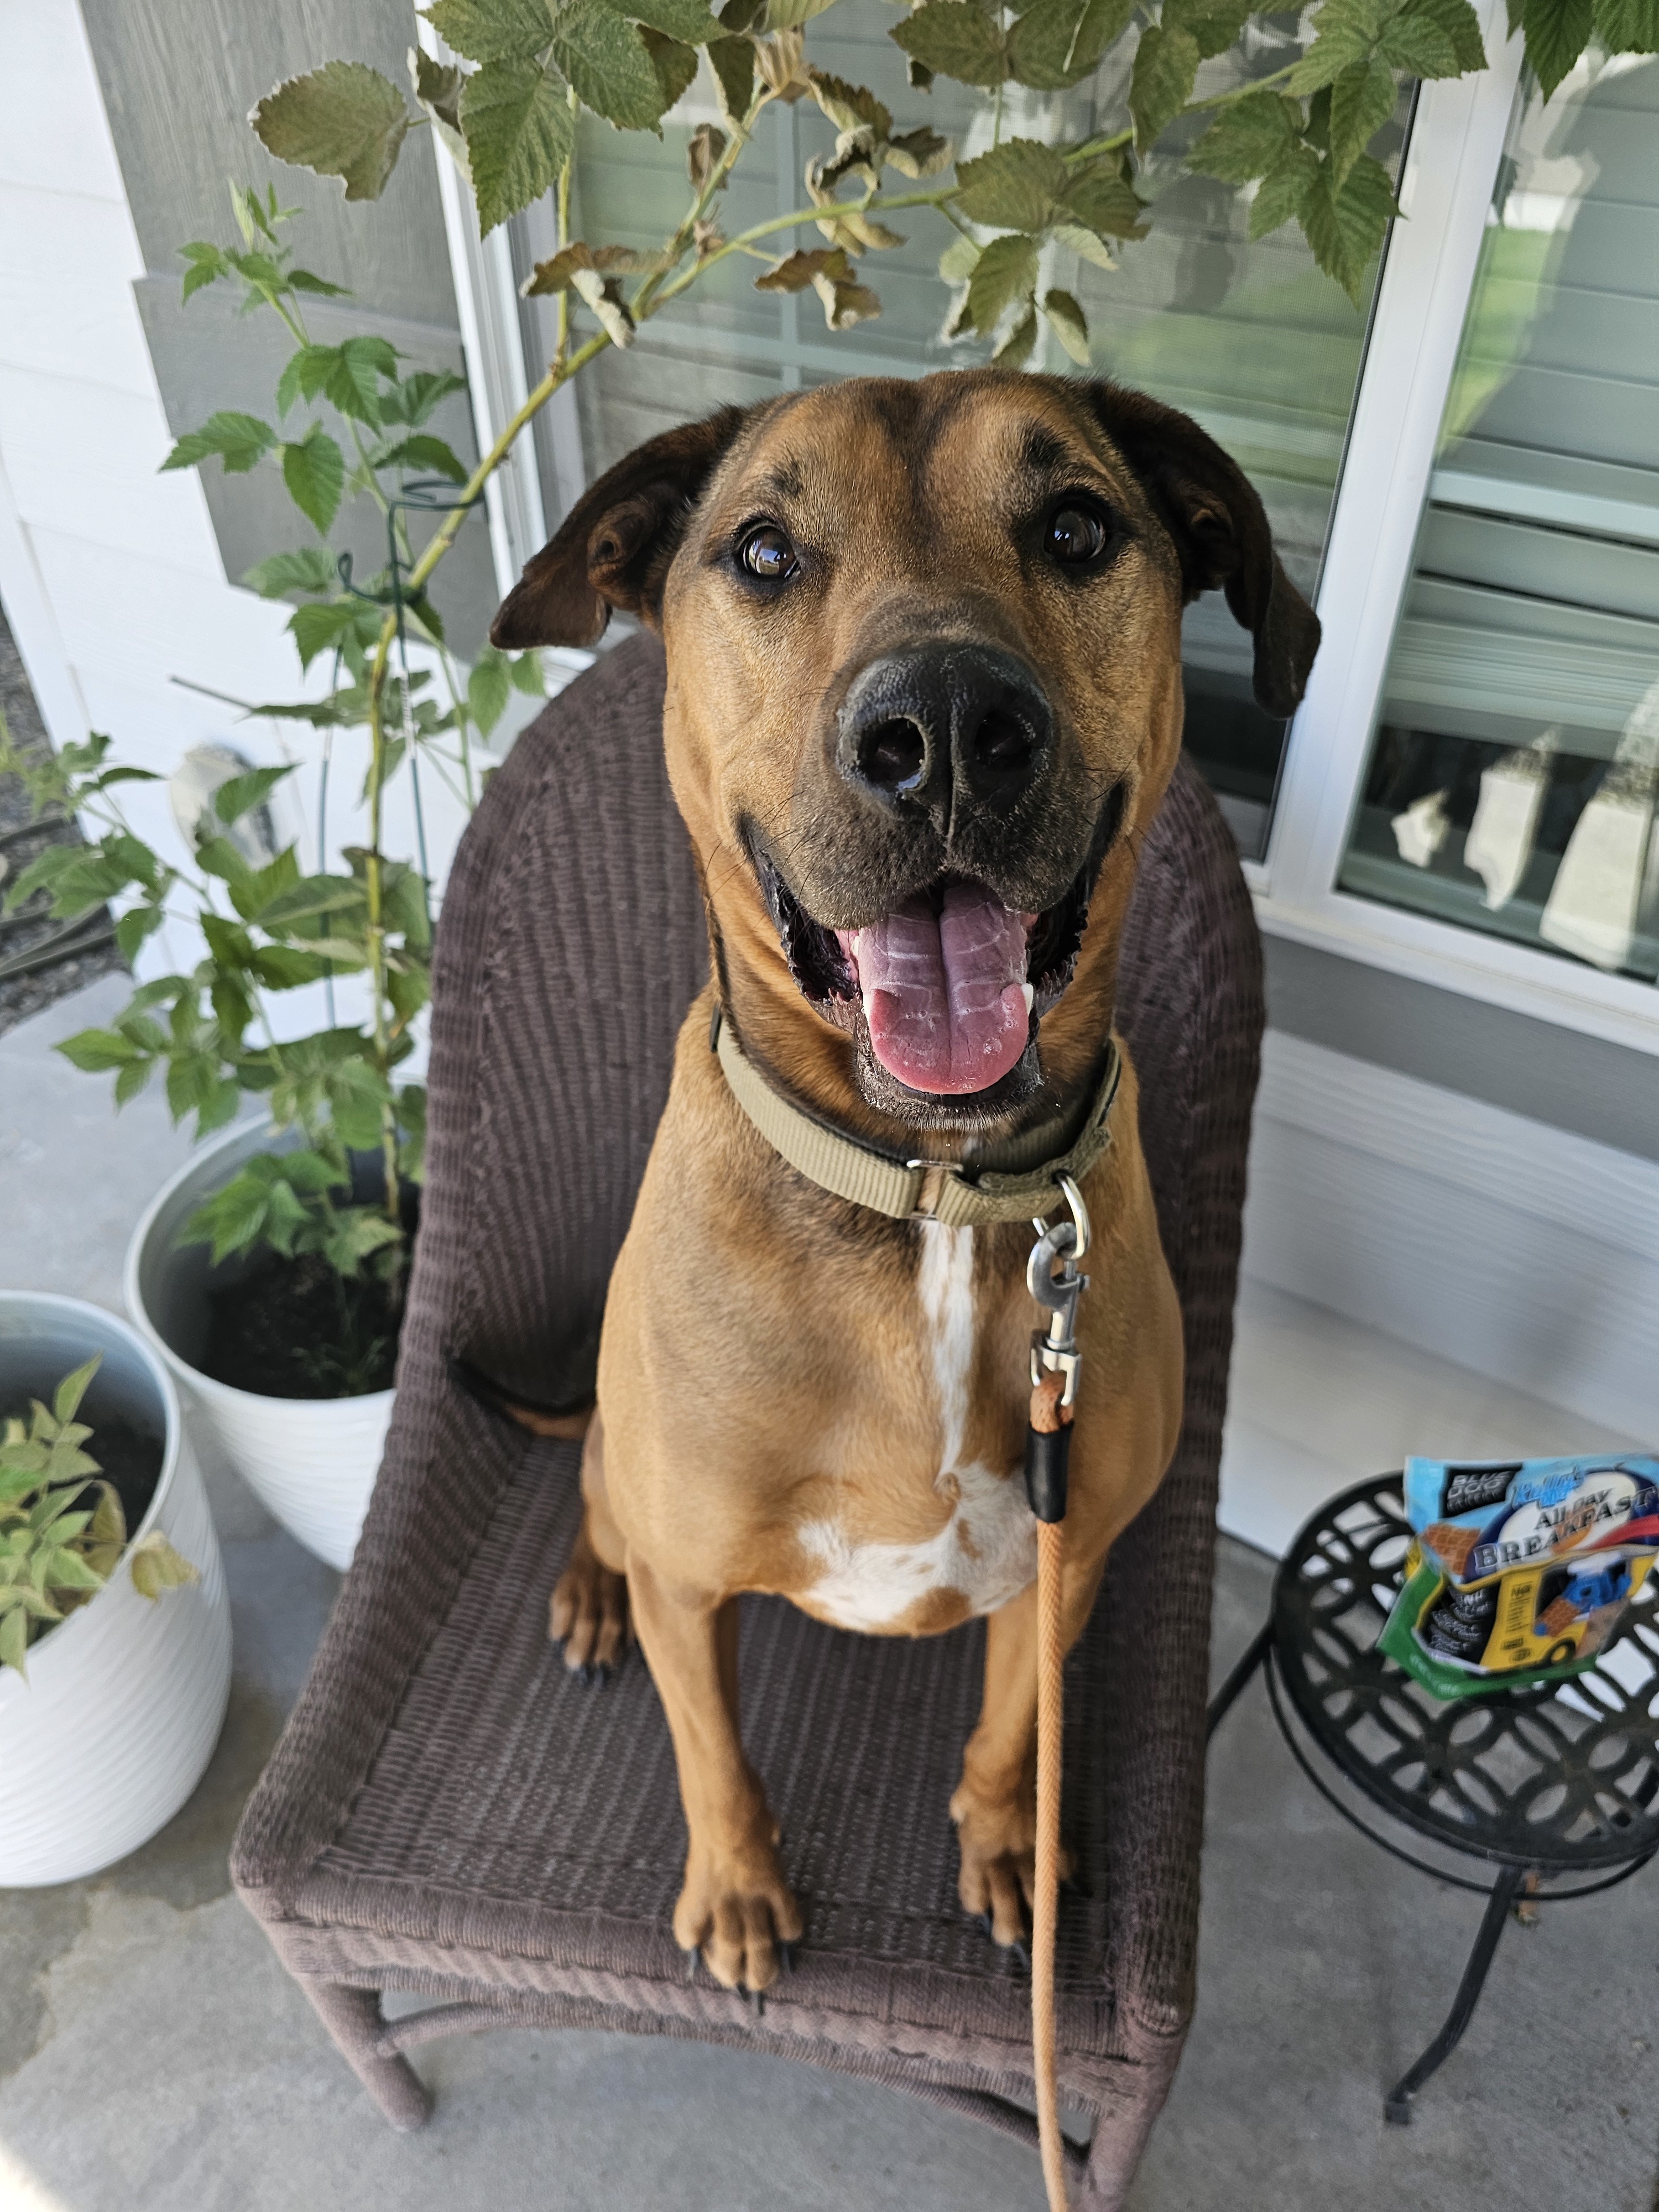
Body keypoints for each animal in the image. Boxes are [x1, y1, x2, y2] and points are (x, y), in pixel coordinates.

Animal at [487, 363, 1318, 1991]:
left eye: (1076, 526)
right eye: (760, 552)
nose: (941, 723)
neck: (929, 1193)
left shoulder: (1068, 1558)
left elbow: (1010, 1732)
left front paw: (1010, 1852)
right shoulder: (697, 1585)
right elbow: (711, 1748)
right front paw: (740, 1885)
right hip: (625, 1480)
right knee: (599, 1506)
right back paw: (586, 1591)